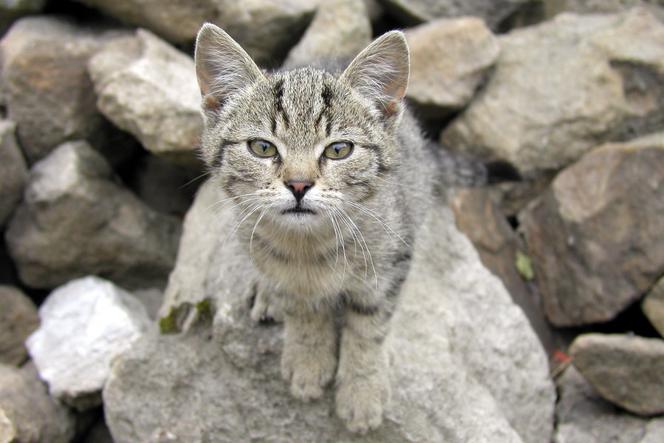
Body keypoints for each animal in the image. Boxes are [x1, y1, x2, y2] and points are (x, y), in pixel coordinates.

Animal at [192, 23, 488, 434]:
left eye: (338, 150)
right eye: (262, 147)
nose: (299, 184)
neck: (310, 246)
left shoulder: (389, 265)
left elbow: (368, 329)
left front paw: (361, 392)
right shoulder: (288, 274)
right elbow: (303, 309)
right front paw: (308, 359)